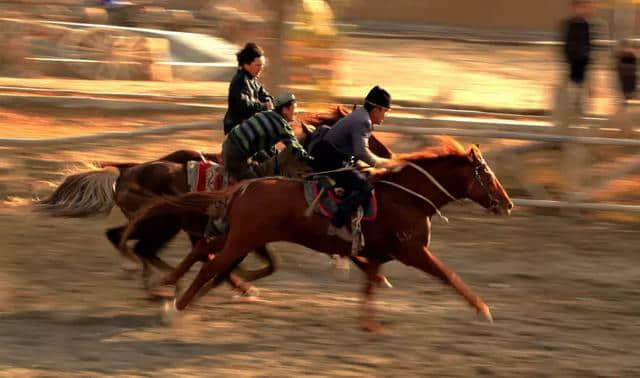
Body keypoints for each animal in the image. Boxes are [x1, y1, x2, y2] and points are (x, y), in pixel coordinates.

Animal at [120, 139, 512, 330]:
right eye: (486, 173)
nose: (507, 203)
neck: (406, 196)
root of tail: (245, 187)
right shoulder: (413, 252)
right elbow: (449, 275)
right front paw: (483, 310)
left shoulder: (378, 253)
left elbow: (371, 283)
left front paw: (368, 323)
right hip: (242, 239)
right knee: (210, 266)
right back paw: (175, 309)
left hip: (229, 234)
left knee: (201, 251)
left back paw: (166, 288)